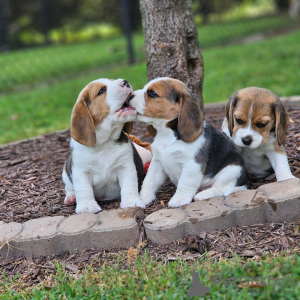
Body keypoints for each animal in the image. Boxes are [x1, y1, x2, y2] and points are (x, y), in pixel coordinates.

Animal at [61, 77, 150, 213]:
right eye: (101, 90)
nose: (125, 81)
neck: (105, 143)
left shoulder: (126, 167)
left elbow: (129, 185)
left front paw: (131, 202)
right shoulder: (81, 172)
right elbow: (84, 189)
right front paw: (87, 207)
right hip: (65, 171)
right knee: (69, 187)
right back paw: (71, 197)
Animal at [129, 77, 248, 207]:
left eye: (152, 93)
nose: (129, 95)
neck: (168, 134)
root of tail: (246, 181)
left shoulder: (192, 166)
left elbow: (184, 184)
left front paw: (179, 200)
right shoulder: (157, 162)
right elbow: (149, 181)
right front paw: (143, 198)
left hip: (232, 169)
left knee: (222, 189)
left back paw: (202, 195)